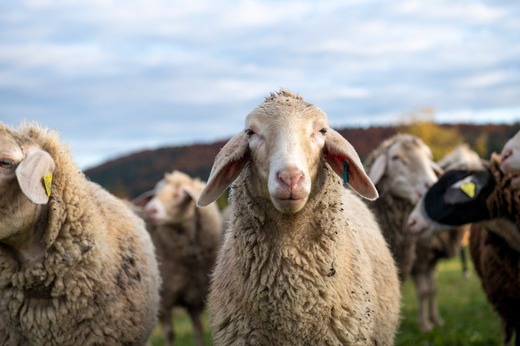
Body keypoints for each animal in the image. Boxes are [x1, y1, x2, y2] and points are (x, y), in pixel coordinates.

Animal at [132, 172, 221, 346]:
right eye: (155, 192)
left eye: (183, 193)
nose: (150, 210)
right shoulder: (164, 299)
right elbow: (169, 332)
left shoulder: (194, 294)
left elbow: (198, 329)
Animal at [362, 134, 468, 332]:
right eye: (395, 157)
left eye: (428, 157)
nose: (431, 186)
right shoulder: (421, 262)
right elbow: (425, 291)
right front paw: (426, 325)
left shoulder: (428, 261)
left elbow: (432, 289)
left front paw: (435, 321)